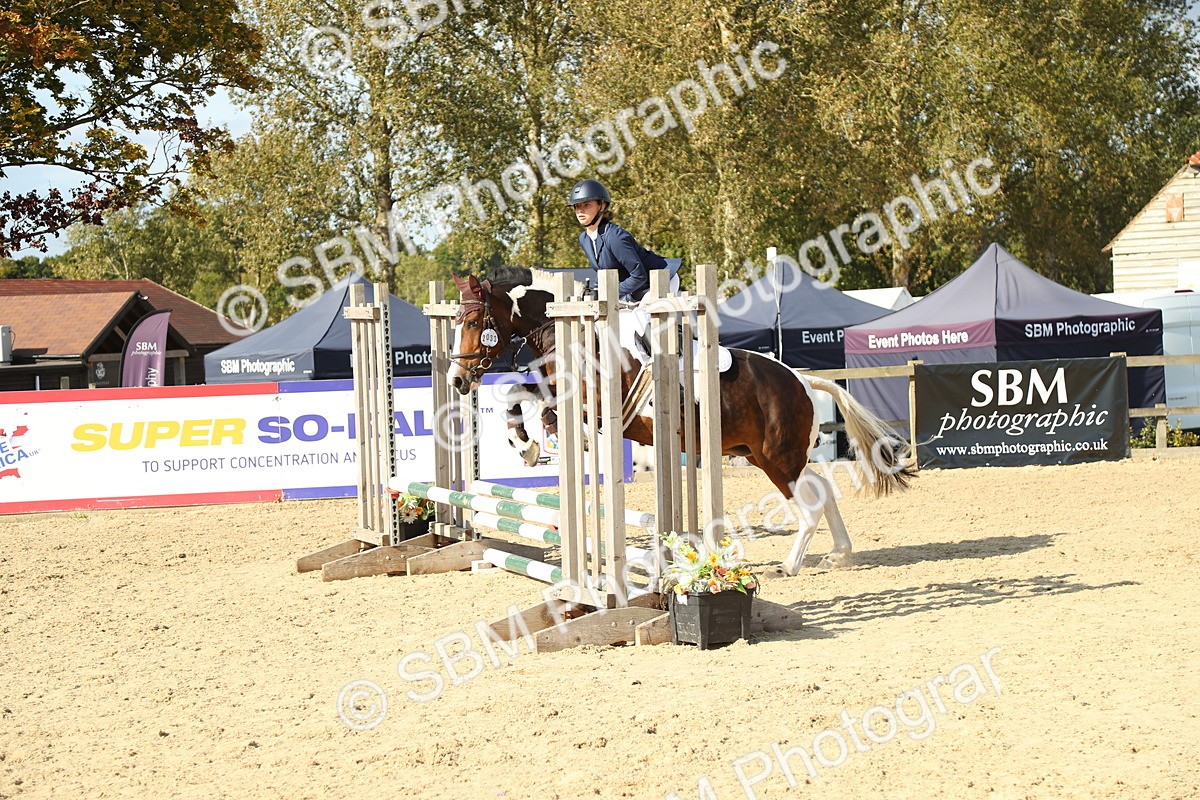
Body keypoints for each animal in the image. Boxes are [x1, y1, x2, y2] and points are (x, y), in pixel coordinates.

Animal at [446, 273, 915, 573]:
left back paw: (789, 566)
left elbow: (545, 411)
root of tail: (802, 379)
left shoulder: (590, 404)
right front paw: (522, 443)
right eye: (456, 322)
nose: (456, 380)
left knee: (811, 504)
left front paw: (535, 444)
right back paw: (840, 554)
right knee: (823, 491)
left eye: (475, 322)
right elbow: (516, 395)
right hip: (766, 455)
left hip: (778, 457)